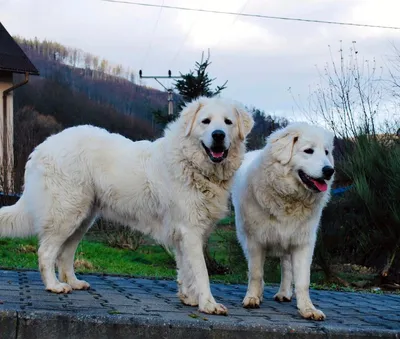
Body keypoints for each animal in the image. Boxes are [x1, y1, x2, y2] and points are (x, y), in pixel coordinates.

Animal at [0, 96, 253, 316]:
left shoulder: (182, 233)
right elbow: (201, 272)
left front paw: (189, 298)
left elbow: (185, 269)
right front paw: (208, 304)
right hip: (66, 212)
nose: (218, 135)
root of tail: (43, 146)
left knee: (65, 254)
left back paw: (73, 282)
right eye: (206, 121)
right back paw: (54, 286)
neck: (191, 163)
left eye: (228, 122)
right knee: (46, 251)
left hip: (83, 217)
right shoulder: (190, 231)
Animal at [230, 123, 336, 322]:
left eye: (326, 152)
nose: (329, 171)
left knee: (286, 267)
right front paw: (252, 298)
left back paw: (284, 293)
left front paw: (308, 309)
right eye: (308, 151)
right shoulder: (255, 241)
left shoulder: (303, 242)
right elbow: (256, 272)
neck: (288, 197)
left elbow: (303, 280)